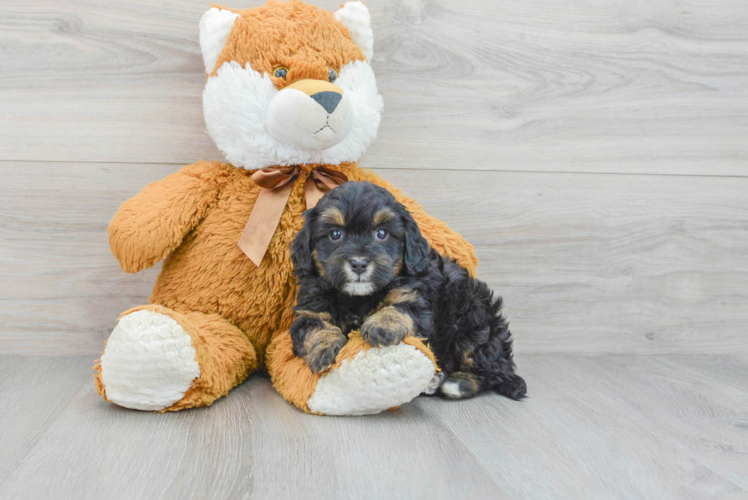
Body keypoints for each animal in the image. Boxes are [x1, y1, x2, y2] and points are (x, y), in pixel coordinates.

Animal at [286, 182, 524, 400]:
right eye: (335, 234)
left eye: (382, 233)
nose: (359, 263)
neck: (358, 297)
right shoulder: (310, 309)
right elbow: (315, 327)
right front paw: (324, 348)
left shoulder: (416, 297)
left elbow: (400, 308)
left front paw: (382, 326)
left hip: (472, 321)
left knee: (492, 372)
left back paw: (455, 384)